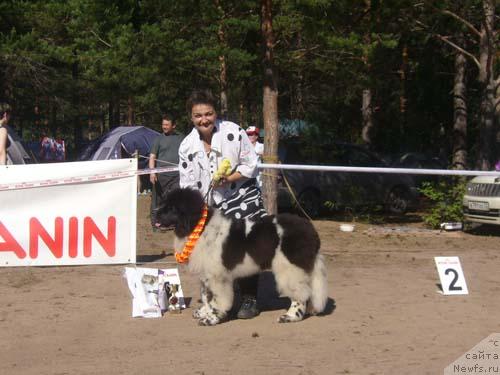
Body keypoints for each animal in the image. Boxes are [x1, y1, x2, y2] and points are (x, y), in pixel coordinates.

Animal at [156, 188, 328, 326]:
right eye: (164, 202)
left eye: (171, 208)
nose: (154, 213)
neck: (200, 227)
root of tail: (310, 229)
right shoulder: (206, 275)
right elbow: (206, 296)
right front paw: (204, 311)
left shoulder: (217, 276)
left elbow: (216, 299)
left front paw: (211, 318)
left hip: (290, 268)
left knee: (300, 294)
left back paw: (291, 316)